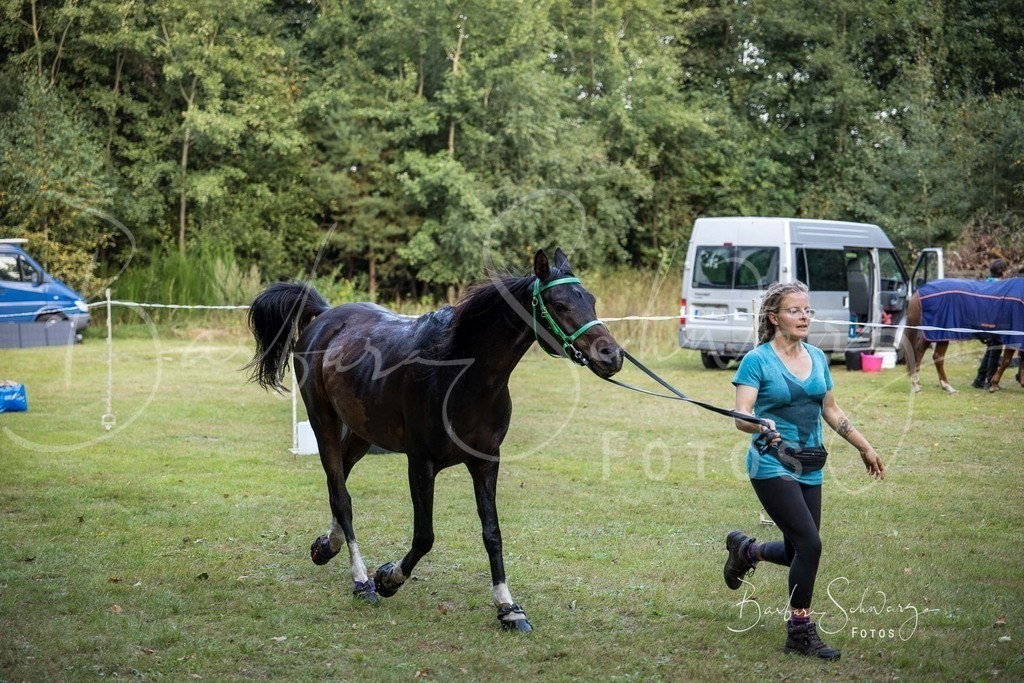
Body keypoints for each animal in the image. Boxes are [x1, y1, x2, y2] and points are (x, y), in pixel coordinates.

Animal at [245, 248, 623, 631]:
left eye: (590, 299)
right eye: (559, 304)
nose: (612, 355)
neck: (461, 373)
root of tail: (325, 316)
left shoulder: (486, 461)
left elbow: (492, 533)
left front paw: (508, 608)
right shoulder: (421, 463)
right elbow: (425, 535)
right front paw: (388, 578)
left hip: (362, 434)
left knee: (338, 485)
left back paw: (327, 546)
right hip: (324, 423)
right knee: (342, 496)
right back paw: (361, 580)